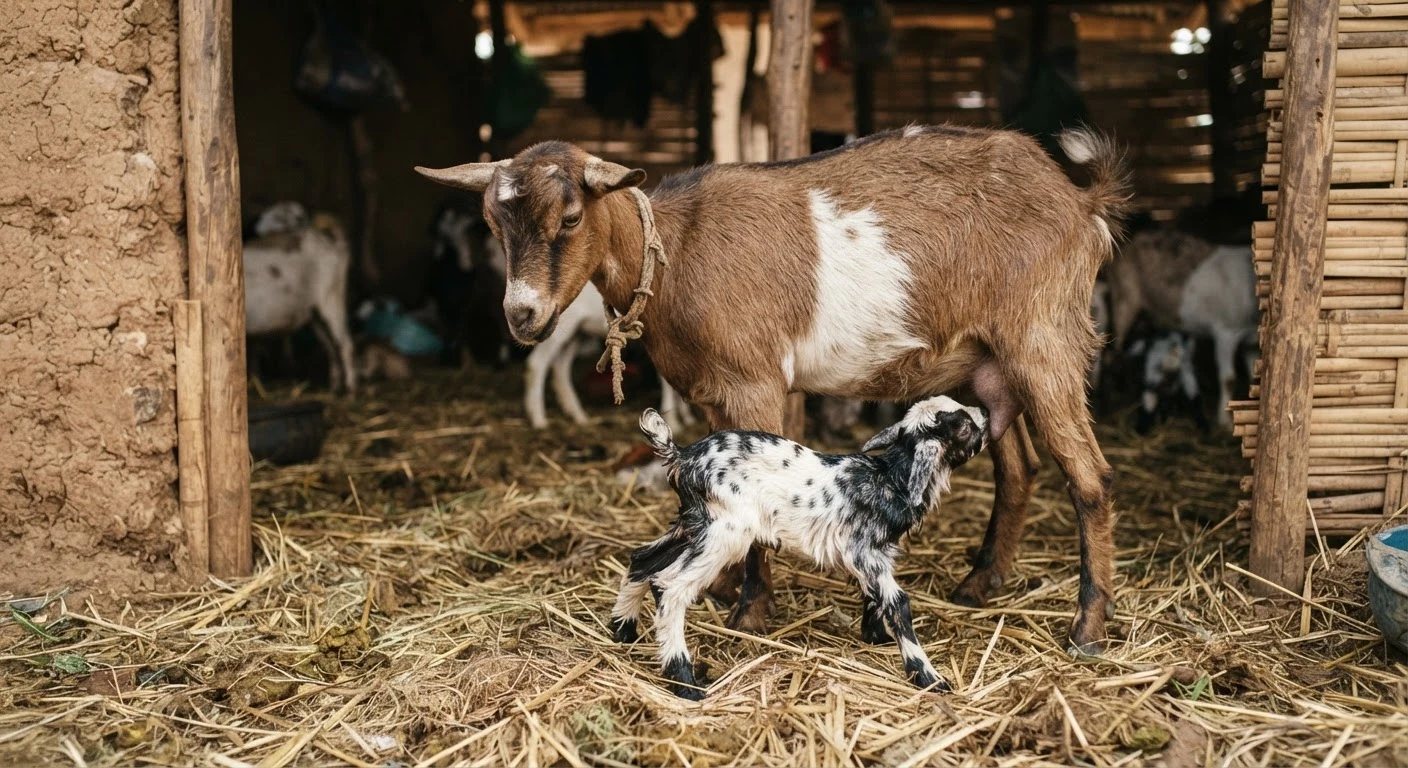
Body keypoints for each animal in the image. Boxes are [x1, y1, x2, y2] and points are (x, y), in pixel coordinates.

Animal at [244, 212, 357, 395]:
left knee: (345, 343)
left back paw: (350, 390)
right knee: (330, 345)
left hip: (332, 297)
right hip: (314, 314)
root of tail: (332, 241)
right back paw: (333, 388)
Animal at [417, 124, 1130, 653]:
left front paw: (751, 613)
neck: (676, 250)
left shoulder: (753, 380)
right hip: (987, 363)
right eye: (491, 222)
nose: (522, 315)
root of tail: (1082, 201)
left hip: (1044, 337)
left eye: (569, 217)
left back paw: (1087, 630)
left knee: (1088, 476)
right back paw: (980, 585)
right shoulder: (711, 392)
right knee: (1019, 467)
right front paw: (725, 586)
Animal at [612, 397, 988, 698]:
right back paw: (685, 683)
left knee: (642, 560)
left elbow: (874, 596)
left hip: (693, 524)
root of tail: (682, 456)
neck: (889, 479)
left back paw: (622, 629)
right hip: (726, 531)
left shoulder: (872, 556)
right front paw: (929, 677)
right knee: (671, 587)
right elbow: (898, 604)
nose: (985, 411)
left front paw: (875, 636)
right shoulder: (865, 552)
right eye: (963, 425)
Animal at [1106, 228, 1258, 429]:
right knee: (1114, 350)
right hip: (1124, 297)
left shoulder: (1250, 341)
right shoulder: (1226, 332)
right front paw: (1224, 422)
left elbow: (1254, 377)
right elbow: (1228, 379)